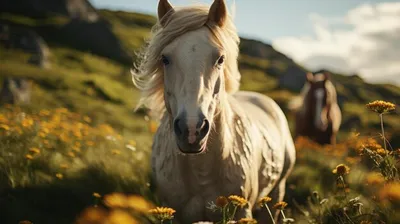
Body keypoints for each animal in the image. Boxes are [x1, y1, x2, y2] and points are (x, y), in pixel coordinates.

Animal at [133, 0, 296, 222]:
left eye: (220, 59)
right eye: (165, 58)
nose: (191, 130)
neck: (202, 173)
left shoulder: (242, 212)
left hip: (276, 193)